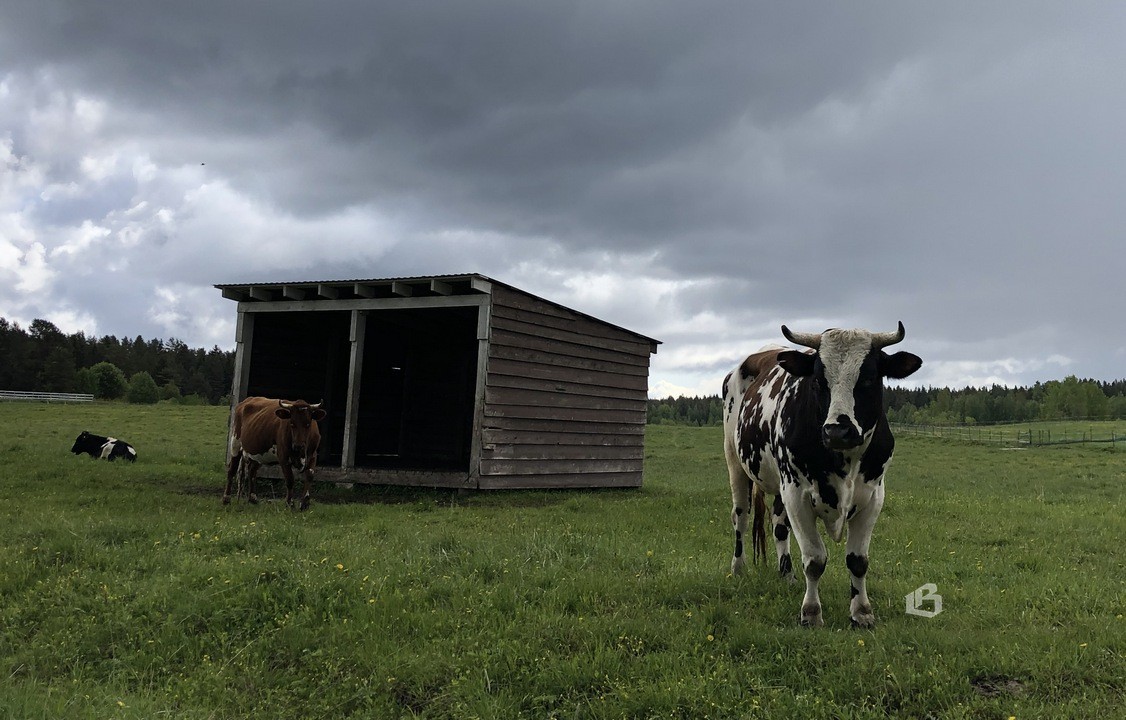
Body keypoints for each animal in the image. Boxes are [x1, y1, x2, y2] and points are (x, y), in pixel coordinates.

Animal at [720, 324, 923, 626]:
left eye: (869, 378)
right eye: (818, 380)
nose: (838, 430)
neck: (845, 461)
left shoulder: (873, 497)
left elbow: (858, 561)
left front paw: (861, 612)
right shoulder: (797, 495)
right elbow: (815, 560)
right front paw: (811, 612)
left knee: (779, 525)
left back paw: (787, 575)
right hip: (735, 462)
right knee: (741, 517)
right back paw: (738, 568)